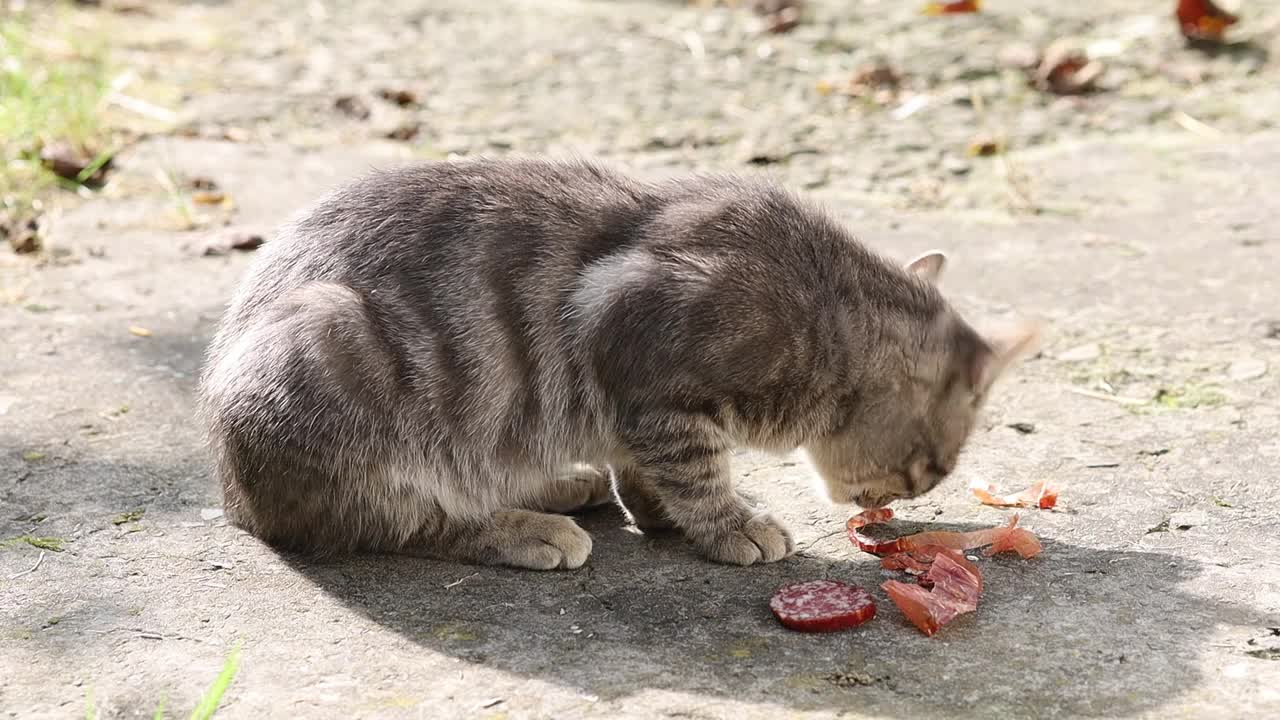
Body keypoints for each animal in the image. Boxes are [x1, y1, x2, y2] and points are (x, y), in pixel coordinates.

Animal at [199, 156, 1039, 566]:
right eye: (926, 470)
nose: (884, 509)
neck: (820, 306)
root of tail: (235, 500)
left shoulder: (640, 412)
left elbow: (652, 470)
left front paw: (665, 516)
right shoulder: (647, 370)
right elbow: (698, 473)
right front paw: (731, 526)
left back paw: (560, 485)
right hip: (332, 338)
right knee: (401, 520)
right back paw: (526, 529)